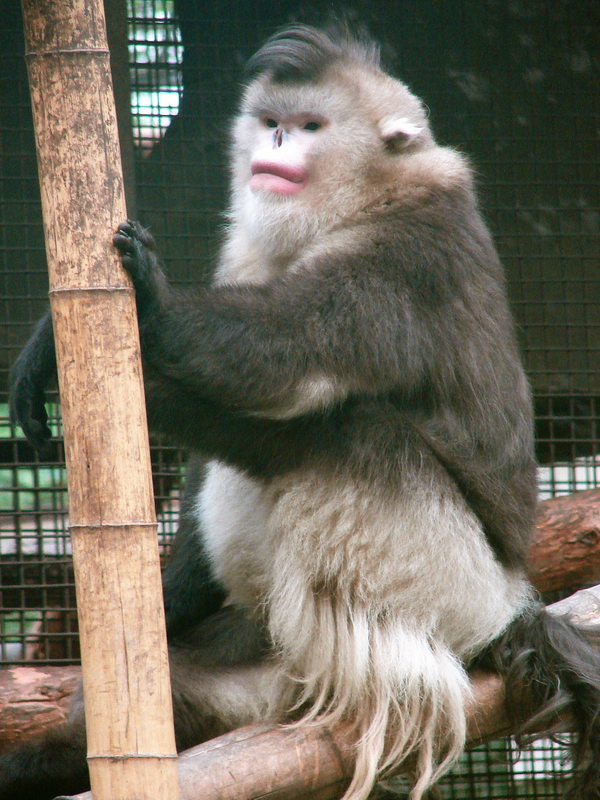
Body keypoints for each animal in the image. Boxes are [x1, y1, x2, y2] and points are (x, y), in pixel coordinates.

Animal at [5, 23, 600, 800]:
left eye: (310, 127)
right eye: (271, 121)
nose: (279, 142)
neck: (365, 198)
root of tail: (512, 601)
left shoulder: (409, 253)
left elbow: (283, 360)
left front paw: (138, 313)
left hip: (455, 587)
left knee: (352, 434)